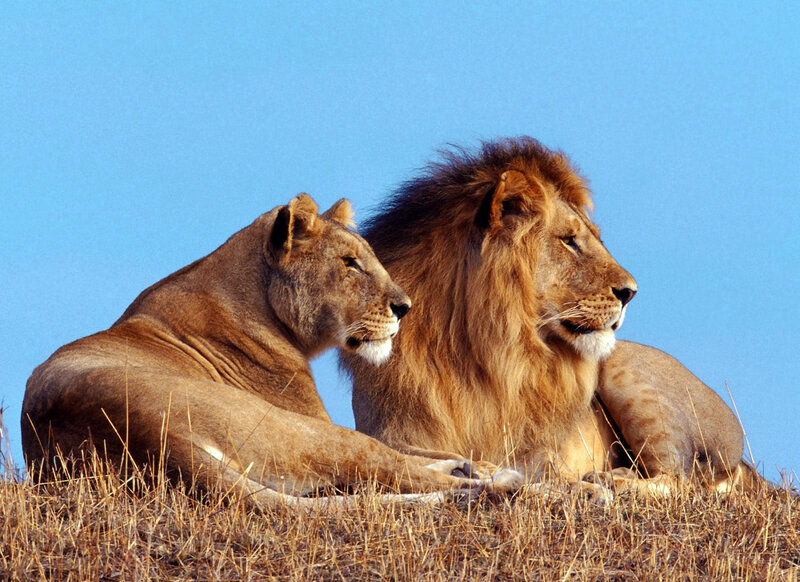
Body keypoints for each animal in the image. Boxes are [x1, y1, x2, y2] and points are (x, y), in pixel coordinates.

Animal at [22, 193, 522, 509]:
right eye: (349, 263)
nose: (405, 307)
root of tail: (151, 437)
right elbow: (401, 453)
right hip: (301, 431)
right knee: (388, 467)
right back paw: (498, 481)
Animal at [342, 138, 758, 495]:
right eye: (569, 240)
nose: (631, 292)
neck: (477, 352)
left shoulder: (540, 449)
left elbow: (541, 468)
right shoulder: (387, 430)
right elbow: (403, 455)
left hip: (625, 367)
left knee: (680, 480)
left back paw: (612, 480)